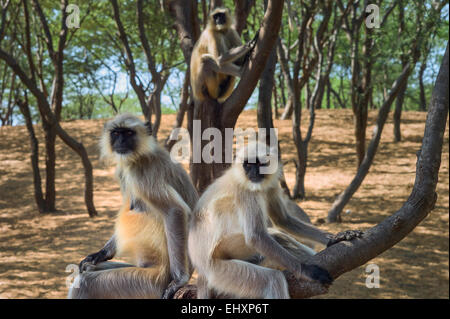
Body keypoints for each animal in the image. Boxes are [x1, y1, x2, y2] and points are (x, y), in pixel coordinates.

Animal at [67, 115, 198, 300]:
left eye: (129, 133)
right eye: (116, 133)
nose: (121, 141)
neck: (140, 155)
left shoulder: (142, 173)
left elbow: (175, 210)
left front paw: (179, 281)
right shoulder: (124, 171)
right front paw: (100, 254)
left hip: (148, 282)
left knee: (85, 282)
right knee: (88, 270)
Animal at [188, 142, 364, 300]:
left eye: (260, 164)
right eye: (248, 165)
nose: (253, 173)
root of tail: (200, 266)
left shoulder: (270, 185)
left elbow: (283, 219)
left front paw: (337, 238)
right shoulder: (244, 191)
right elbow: (256, 236)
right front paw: (306, 271)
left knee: (278, 236)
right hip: (219, 269)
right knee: (273, 279)